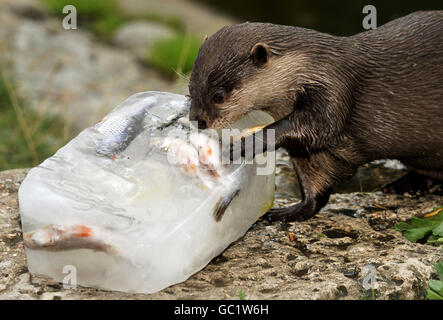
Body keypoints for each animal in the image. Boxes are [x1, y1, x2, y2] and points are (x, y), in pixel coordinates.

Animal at [189, 12, 443, 222]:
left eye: (219, 96)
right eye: (190, 89)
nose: (197, 120)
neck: (310, 68)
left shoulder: (334, 90)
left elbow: (317, 127)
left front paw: (240, 146)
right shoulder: (309, 153)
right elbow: (316, 187)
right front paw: (287, 212)